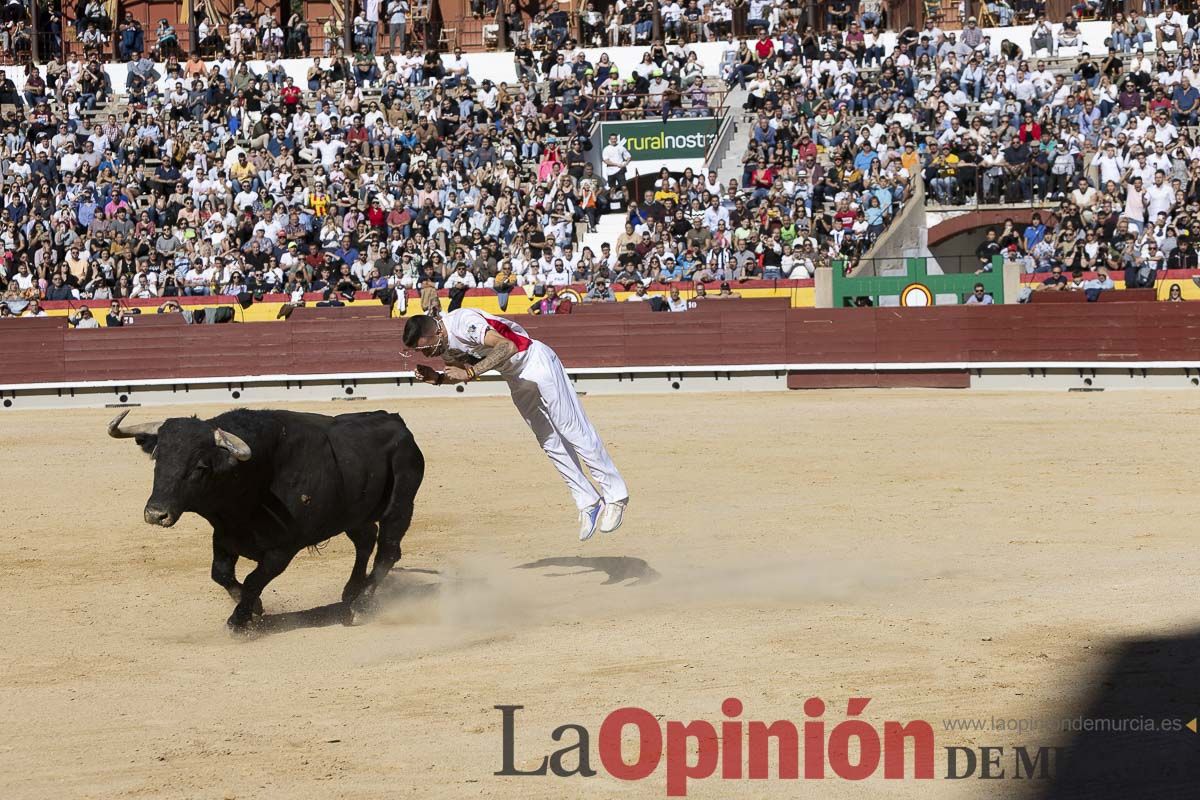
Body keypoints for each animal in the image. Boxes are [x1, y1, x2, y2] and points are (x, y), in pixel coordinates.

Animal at [109, 410, 427, 628]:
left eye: (200, 466)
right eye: (158, 459)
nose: (156, 513)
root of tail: (397, 422)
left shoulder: (282, 549)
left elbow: (254, 579)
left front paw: (240, 620)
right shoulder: (224, 535)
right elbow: (221, 573)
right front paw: (254, 607)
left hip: (400, 505)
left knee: (388, 550)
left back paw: (360, 605)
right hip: (354, 515)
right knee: (365, 541)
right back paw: (350, 592)